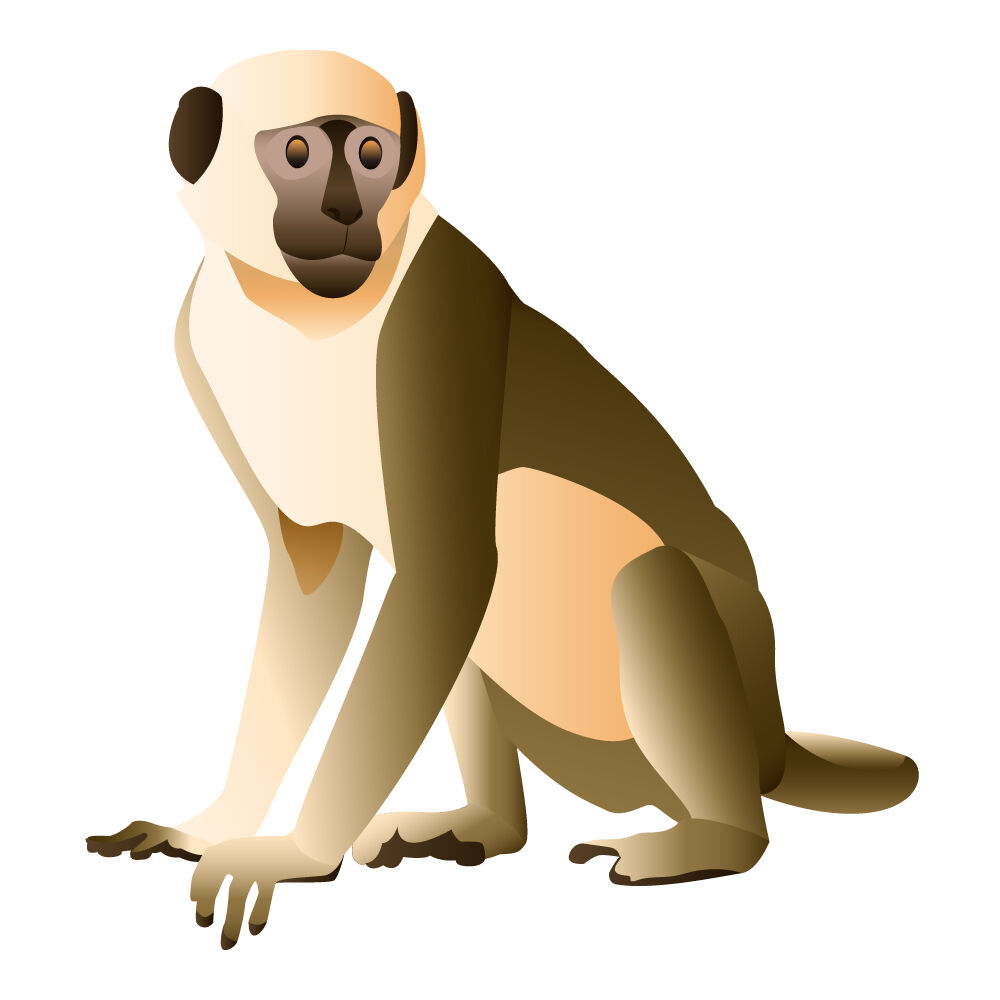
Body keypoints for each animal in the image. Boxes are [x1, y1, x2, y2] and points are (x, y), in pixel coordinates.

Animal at [86, 51, 918, 949]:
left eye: (372, 156)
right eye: (300, 154)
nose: (346, 211)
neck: (300, 312)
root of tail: (770, 734)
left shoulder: (439, 312)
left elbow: (446, 570)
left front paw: (299, 852)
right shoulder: (197, 340)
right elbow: (316, 588)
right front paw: (217, 822)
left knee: (638, 575)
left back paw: (717, 837)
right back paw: (489, 824)